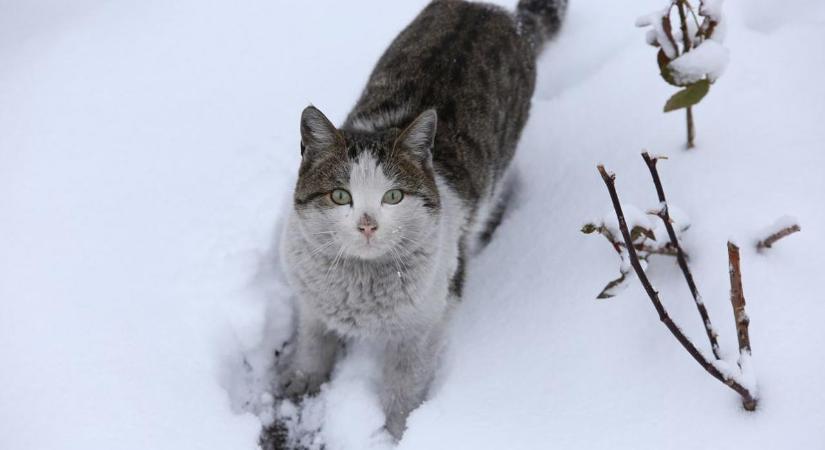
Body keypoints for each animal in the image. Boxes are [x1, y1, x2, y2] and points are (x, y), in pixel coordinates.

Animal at [280, 0, 564, 438]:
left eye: (393, 196)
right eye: (340, 195)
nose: (367, 224)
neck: (358, 285)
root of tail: (496, 11)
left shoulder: (424, 326)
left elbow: (403, 390)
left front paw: (396, 433)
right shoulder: (311, 302)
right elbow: (312, 343)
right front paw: (302, 380)